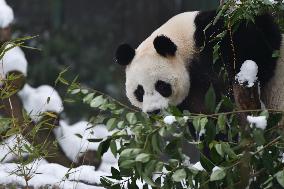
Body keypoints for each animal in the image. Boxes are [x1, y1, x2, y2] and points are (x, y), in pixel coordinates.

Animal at [114, 9, 282, 118]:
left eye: (161, 86)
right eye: (139, 91)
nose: (153, 111)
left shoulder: (211, 32)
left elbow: (253, 38)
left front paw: (243, 75)